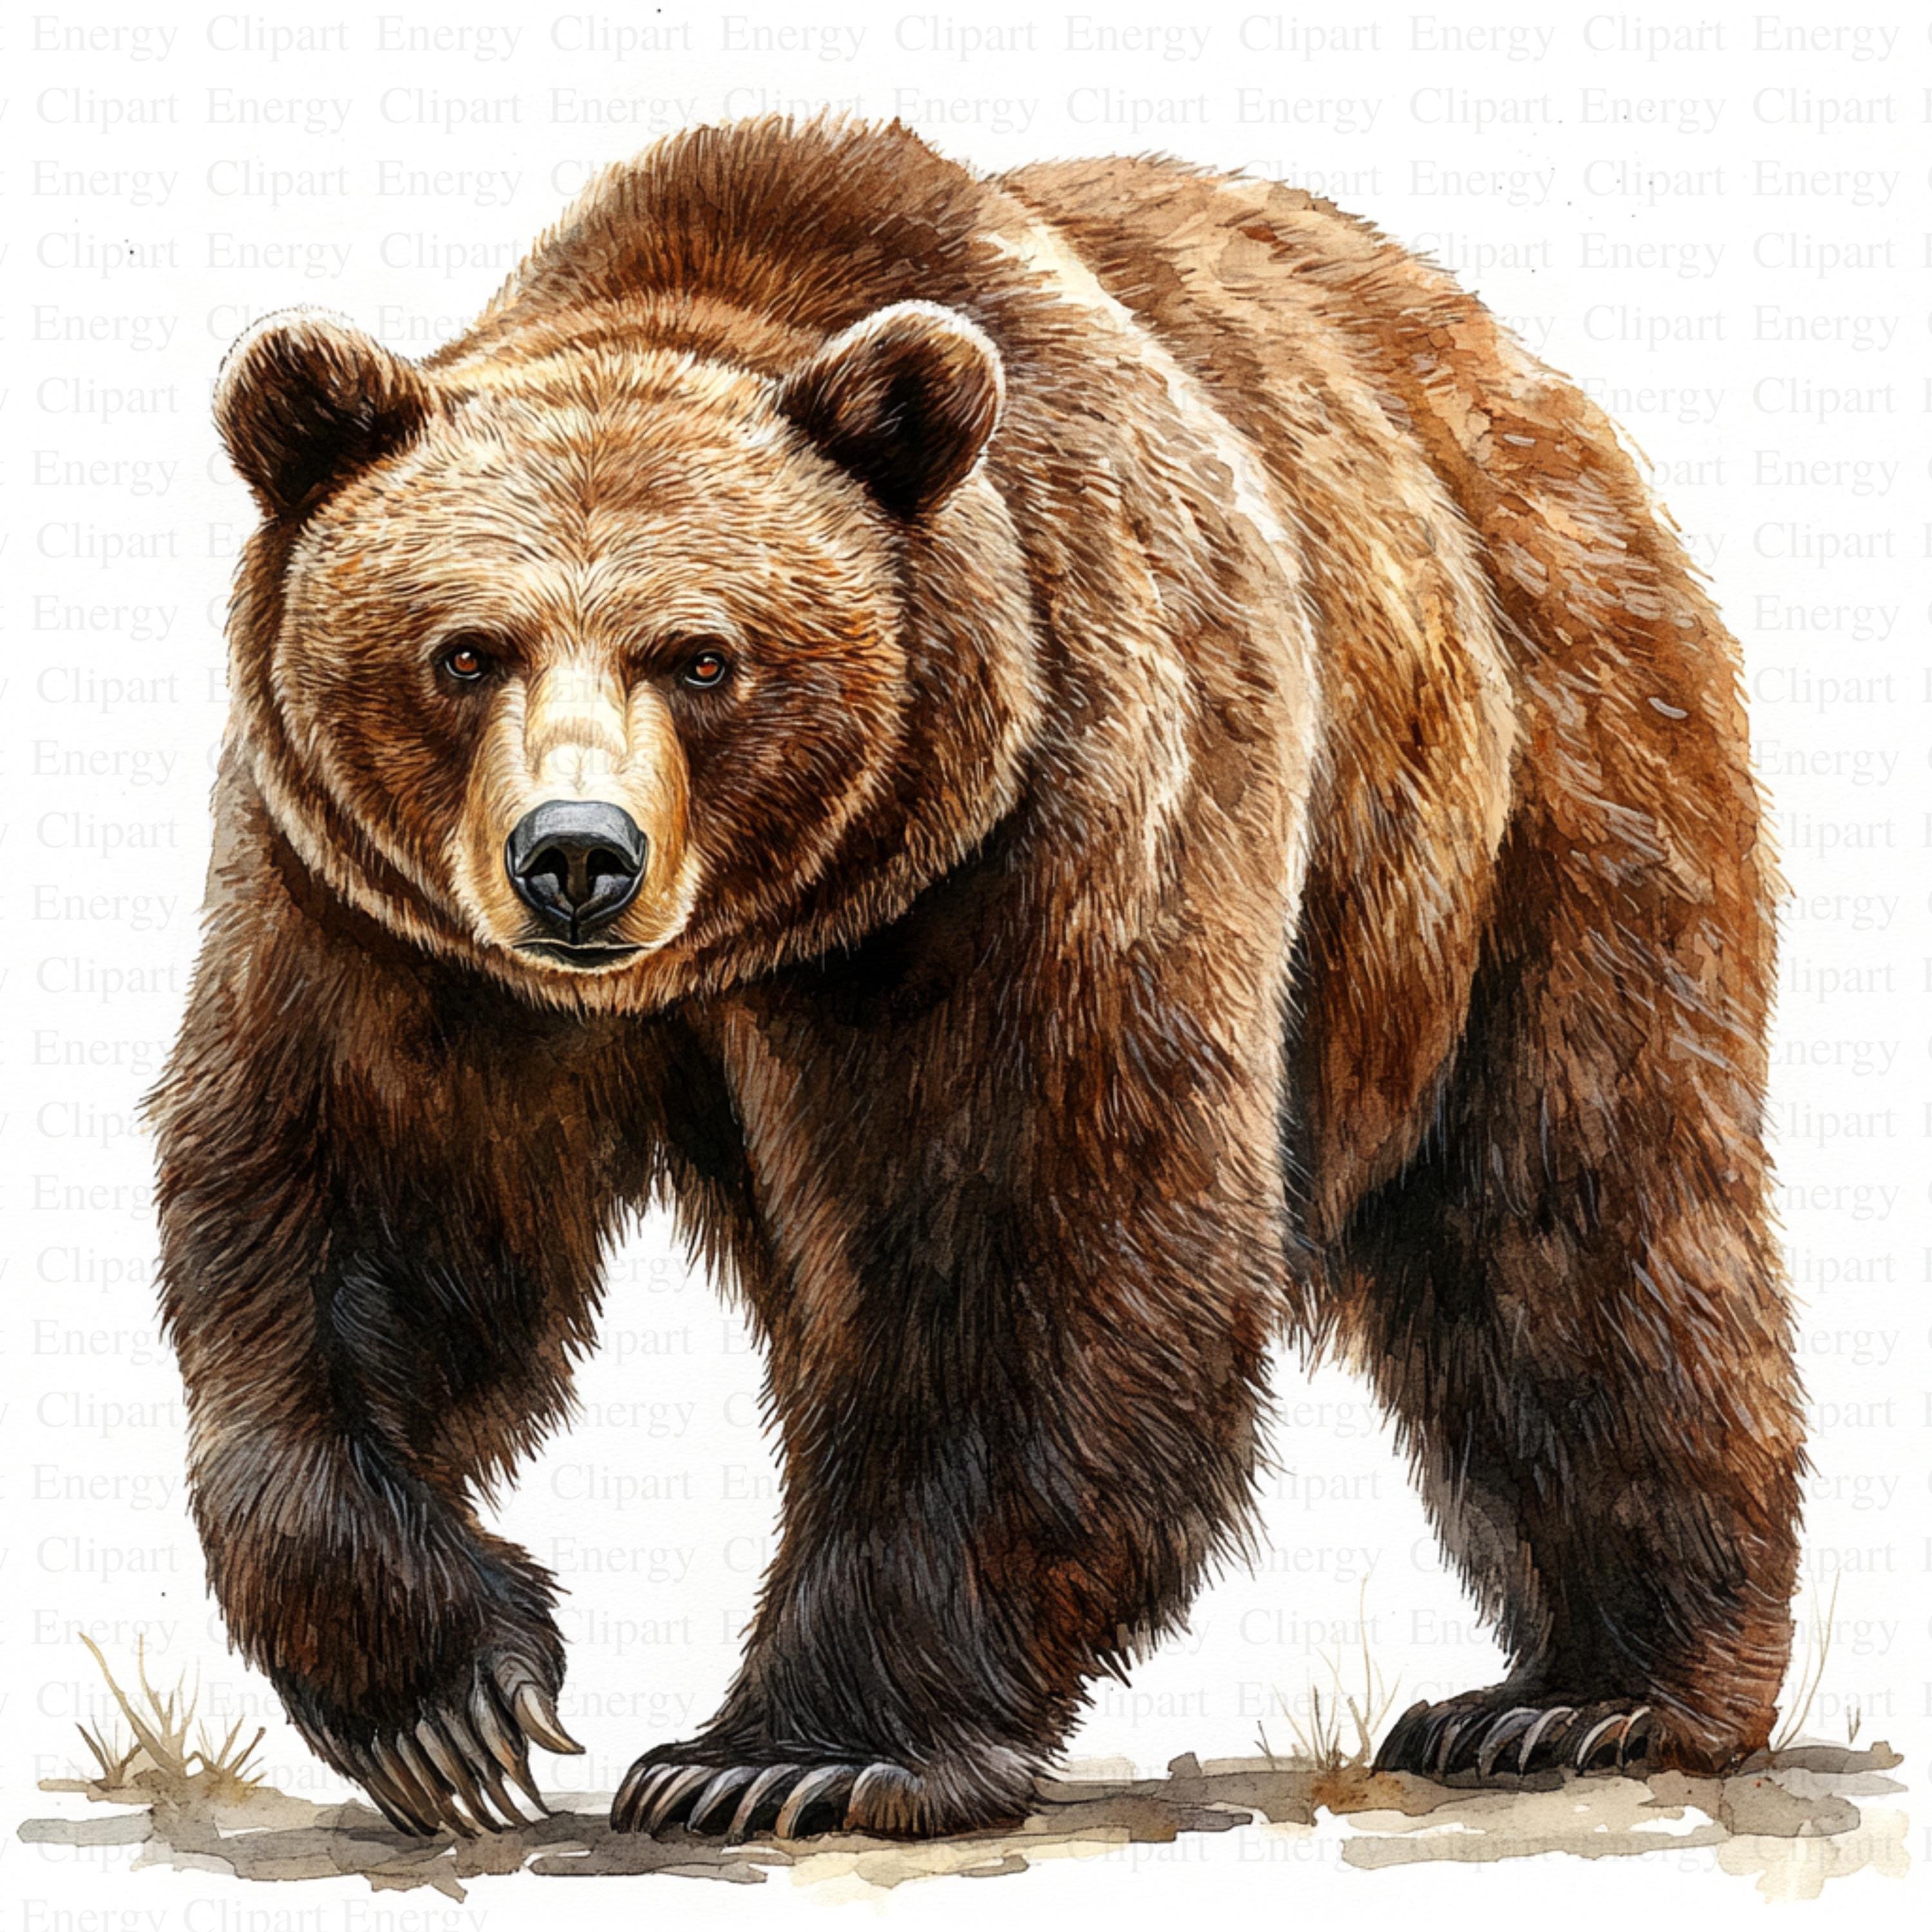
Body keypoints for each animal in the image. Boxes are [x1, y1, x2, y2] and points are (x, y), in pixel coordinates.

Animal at [154, 115, 1804, 1843]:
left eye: (704, 656)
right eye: (465, 651)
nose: (577, 857)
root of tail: (1507, 369)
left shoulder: (1055, 811)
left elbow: (1032, 1226)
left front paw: (786, 1750)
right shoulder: (385, 912)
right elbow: (362, 1205)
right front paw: (449, 1701)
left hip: (1533, 783)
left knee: (1578, 1213)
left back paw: (1587, 1696)